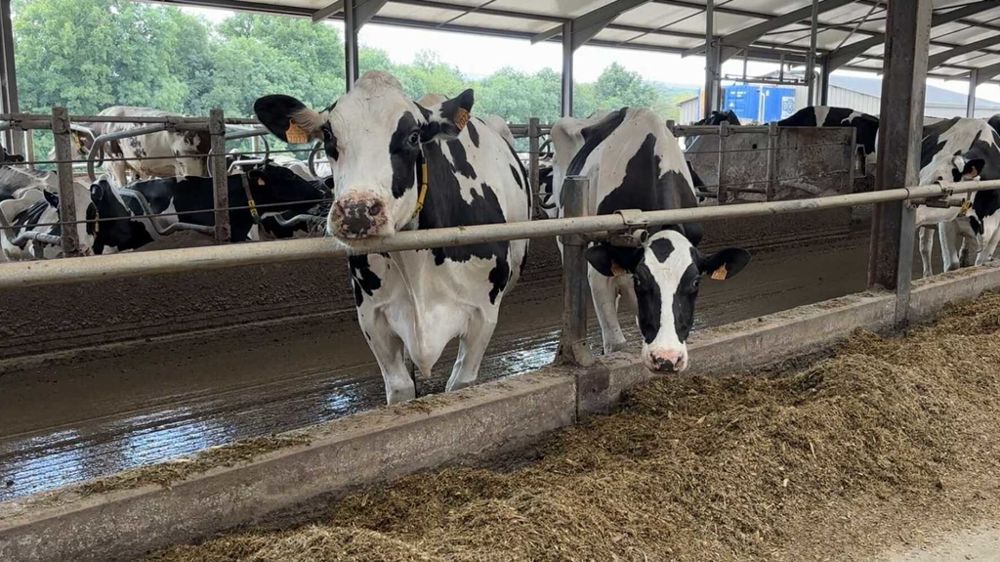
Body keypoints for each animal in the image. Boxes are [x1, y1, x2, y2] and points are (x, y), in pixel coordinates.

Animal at [253, 71, 530, 404]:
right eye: (329, 135)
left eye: (413, 136)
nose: (357, 211)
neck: (416, 262)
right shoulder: (372, 317)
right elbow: (400, 388)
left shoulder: (484, 314)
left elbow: (461, 384)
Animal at [916, 117, 1000, 277]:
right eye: (920, 175)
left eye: (939, 179)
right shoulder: (946, 223)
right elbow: (952, 265)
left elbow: (981, 263)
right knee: (925, 245)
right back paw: (927, 275)